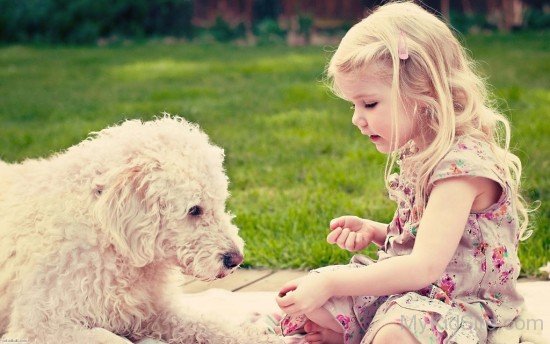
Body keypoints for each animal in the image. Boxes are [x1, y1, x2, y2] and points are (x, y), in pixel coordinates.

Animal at [0, 116, 282, 344]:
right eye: (194, 210)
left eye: (220, 202)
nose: (236, 259)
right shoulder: (42, 324)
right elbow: (114, 340)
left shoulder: (157, 311)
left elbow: (212, 325)